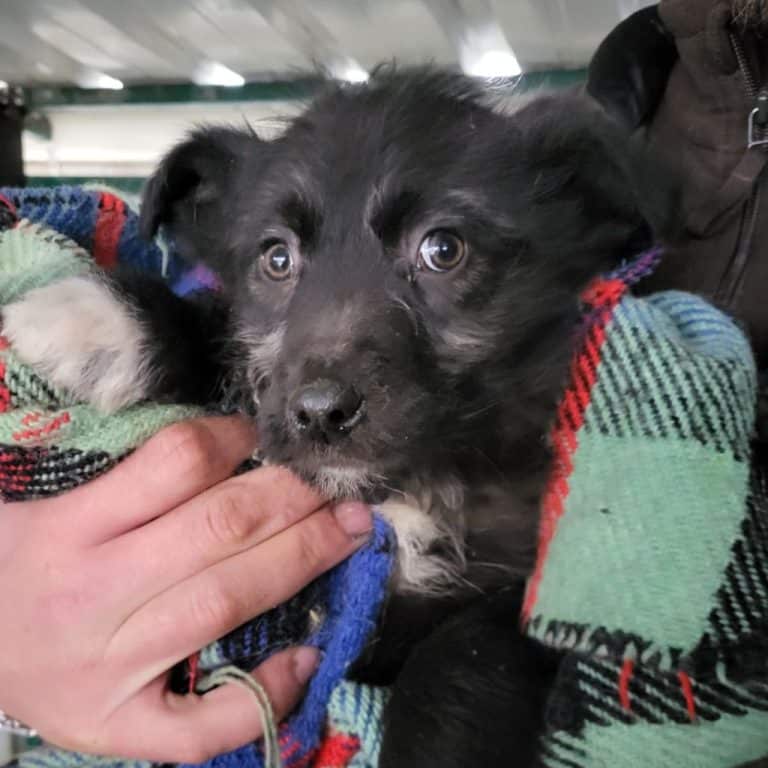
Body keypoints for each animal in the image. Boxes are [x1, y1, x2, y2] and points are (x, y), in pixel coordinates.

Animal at [1, 70, 669, 766]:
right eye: (276, 258)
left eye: (443, 248)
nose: (321, 413)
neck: (410, 483)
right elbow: (220, 332)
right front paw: (93, 319)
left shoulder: (526, 585)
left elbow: (460, 661)